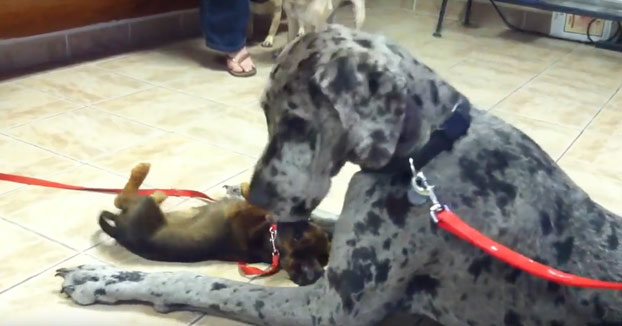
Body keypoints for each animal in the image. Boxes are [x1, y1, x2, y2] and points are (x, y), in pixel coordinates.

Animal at [97, 163, 332, 286]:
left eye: (299, 235)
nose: (304, 217)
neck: (269, 244)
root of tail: (118, 230)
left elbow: (254, 198)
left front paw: (245, 188)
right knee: (123, 199)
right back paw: (158, 192)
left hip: (142, 207)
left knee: (121, 198)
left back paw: (144, 175)